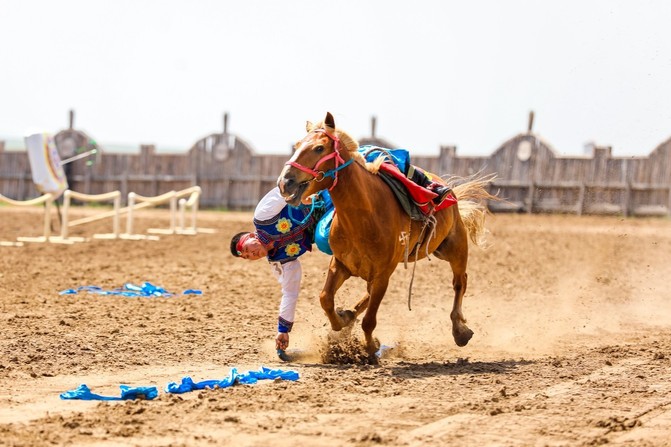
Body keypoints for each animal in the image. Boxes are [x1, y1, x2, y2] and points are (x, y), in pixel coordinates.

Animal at [276, 113, 496, 360]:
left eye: (319, 148)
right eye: (296, 146)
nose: (285, 182)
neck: (364, 217)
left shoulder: (383, 274)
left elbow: (369, 320)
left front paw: (371, 349)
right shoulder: (340, 264)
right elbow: (326, 298)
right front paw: (342, 322)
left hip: (455, 247)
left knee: (460, 282)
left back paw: (459, 330)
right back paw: (349, 316)